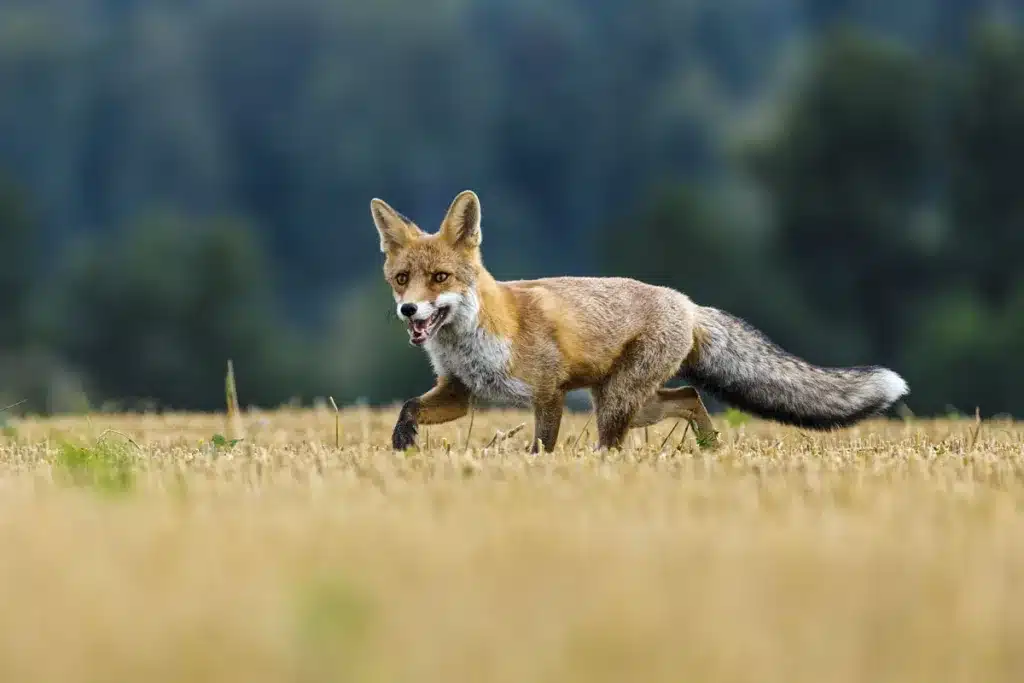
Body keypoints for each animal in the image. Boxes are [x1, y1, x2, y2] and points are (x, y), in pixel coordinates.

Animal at [370, 189, 909, 453]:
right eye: (402, 279)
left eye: (440, 278)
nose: (408, 310)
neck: (477, 340)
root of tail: (687, 303)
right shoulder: (460, 392)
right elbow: (410, 407)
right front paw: (402, 445)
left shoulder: (549, 394)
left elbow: (541, 448)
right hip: (631, 400)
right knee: (689, 397)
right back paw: (710, 449)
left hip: (614, 401)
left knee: (617, 443)